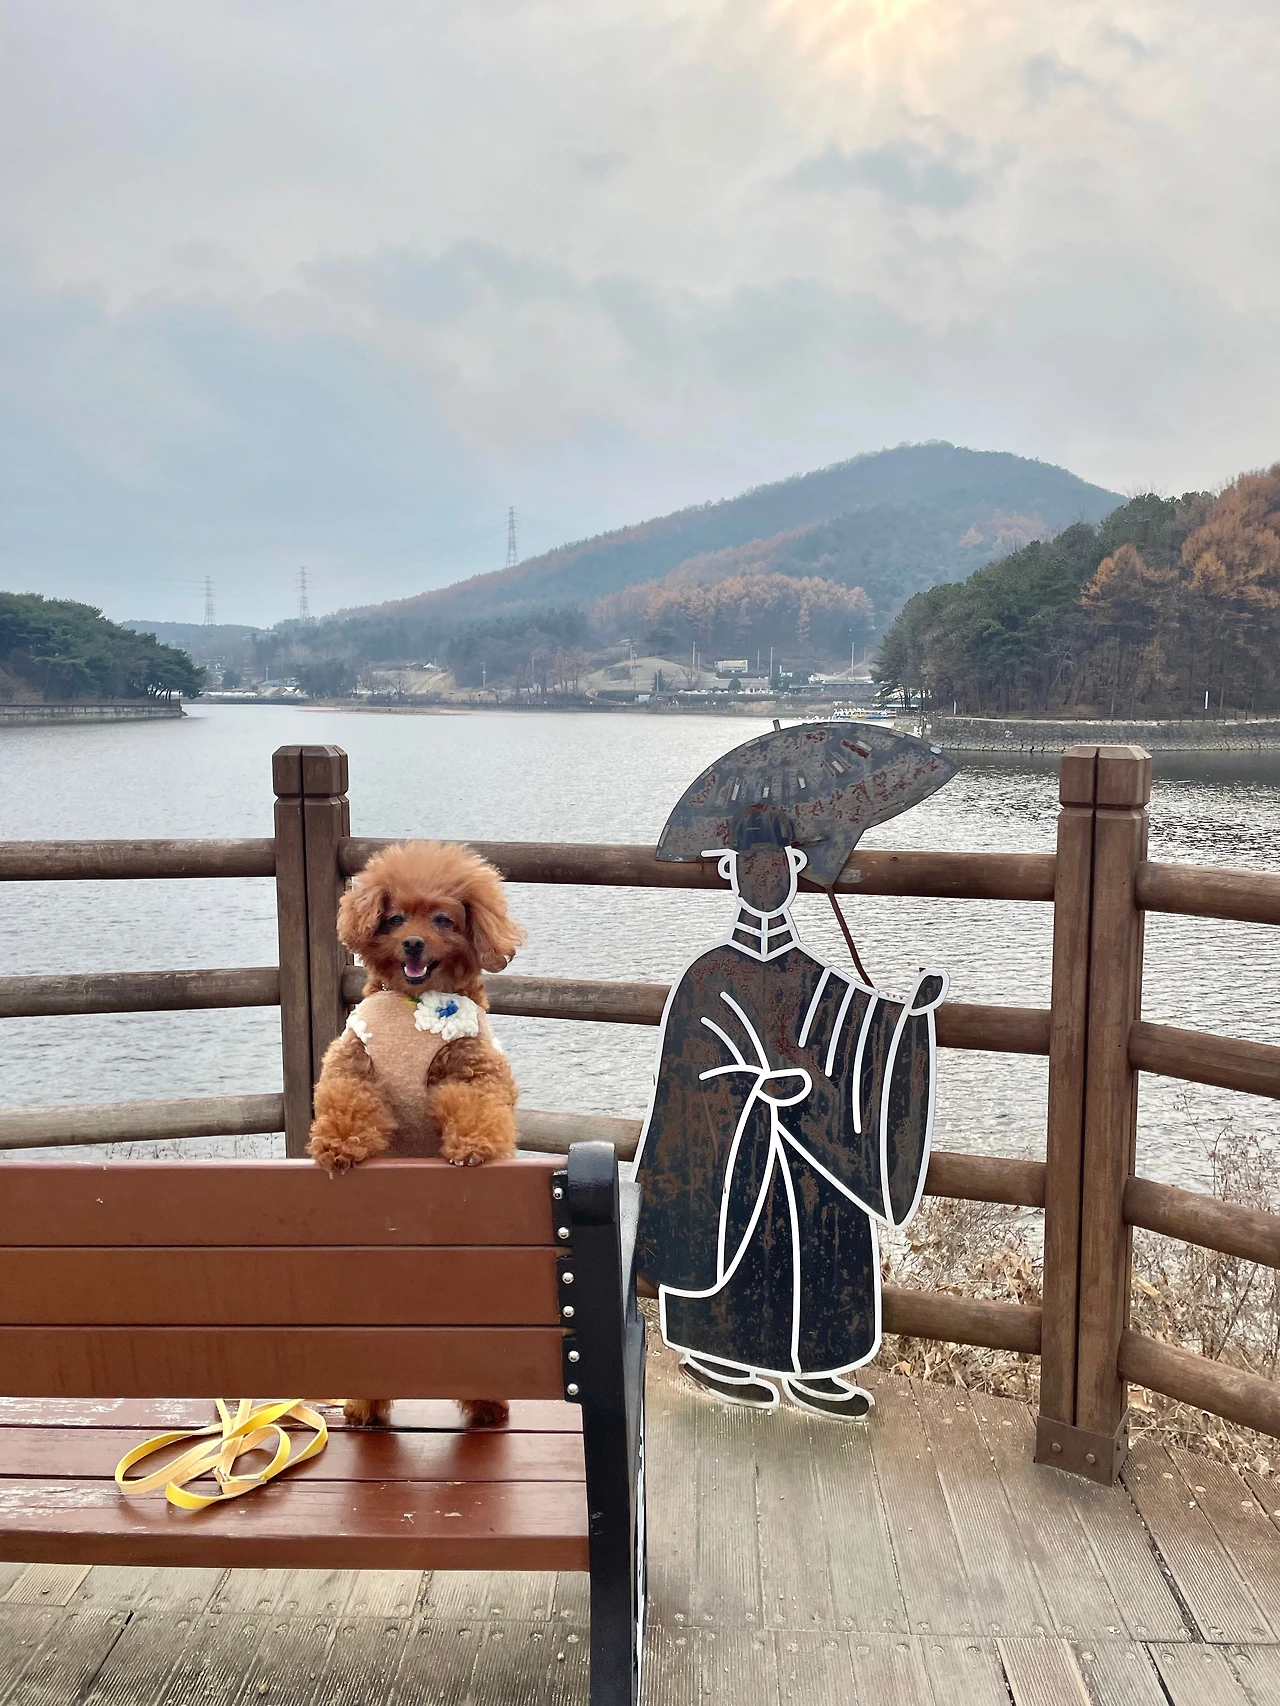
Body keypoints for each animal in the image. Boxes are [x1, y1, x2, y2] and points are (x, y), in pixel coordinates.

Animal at [308, 840, 525, 1430]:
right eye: (395, 917)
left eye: (444, 920)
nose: (412, 943)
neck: (413, 1007)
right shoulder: (354, 1061)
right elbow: (345, 1101)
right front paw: (337, 1147)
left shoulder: (474, 1070)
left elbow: (476, 1107)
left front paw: (470, 1149)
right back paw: (363, 1407)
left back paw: (487, 1407)